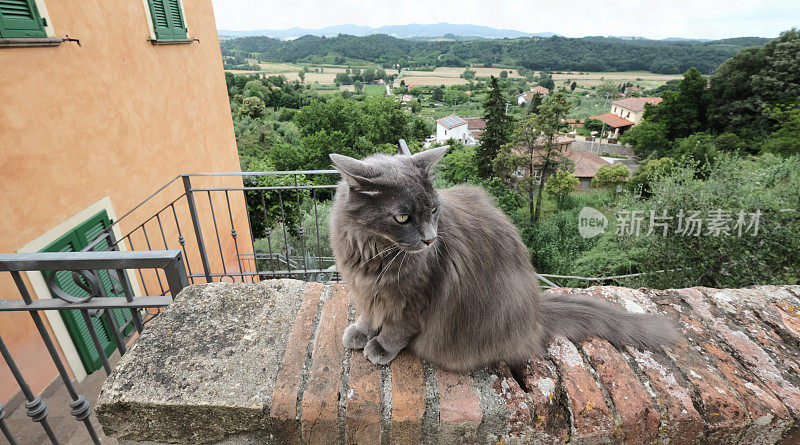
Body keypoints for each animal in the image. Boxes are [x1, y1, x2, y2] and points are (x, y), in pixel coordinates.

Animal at [328, 147, 680, 372]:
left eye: (434, 211)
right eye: (402, 218)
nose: (430, 239)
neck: (373, 252)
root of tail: (535, 314)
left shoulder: (415, 298)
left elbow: (397, 327)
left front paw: (380, 346)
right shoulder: (365, 290)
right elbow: (369, 315)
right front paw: (360, 331)